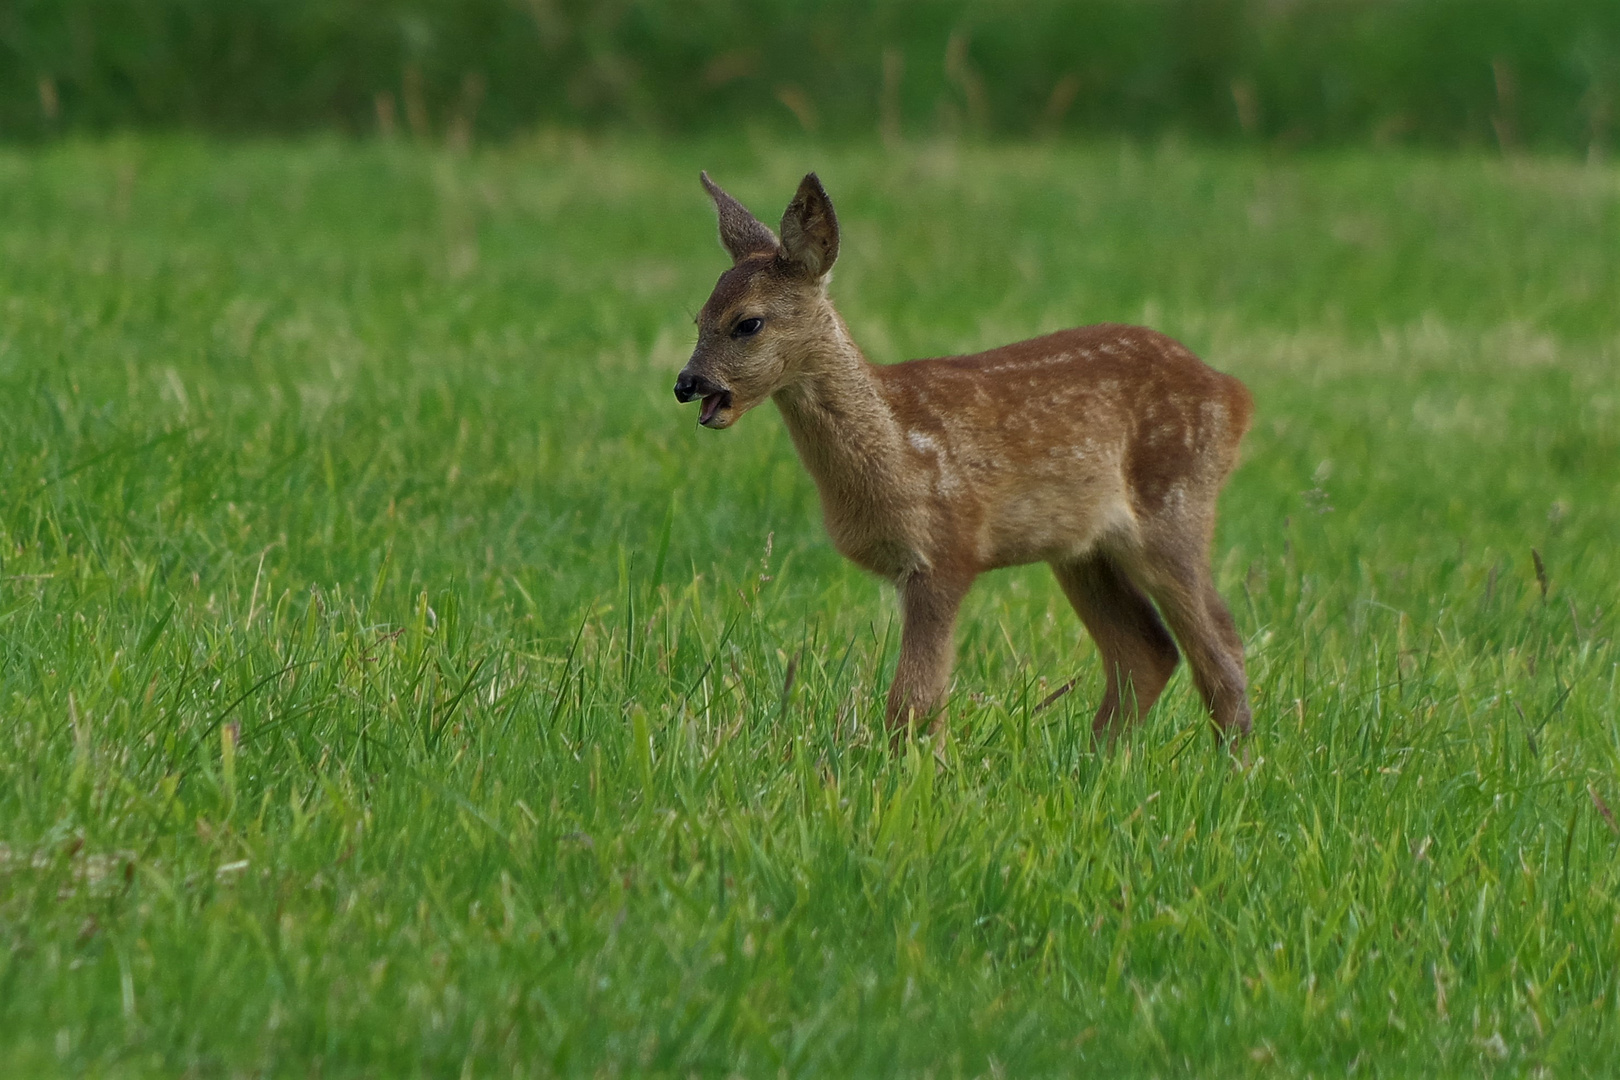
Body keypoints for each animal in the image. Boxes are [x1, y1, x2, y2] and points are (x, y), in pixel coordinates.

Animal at [670, 173, 1250, 748]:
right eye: (698, 319)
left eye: (748, 323)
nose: (686, 383)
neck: (898, 446)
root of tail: (1235, 396)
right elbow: (927, 704)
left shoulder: (947, 549)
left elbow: (912, 701)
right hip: (1081, 549)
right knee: (1147, 650)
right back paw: (1099, 757)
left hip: (1173, 506)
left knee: (1221, 648)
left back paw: (1231, 762)